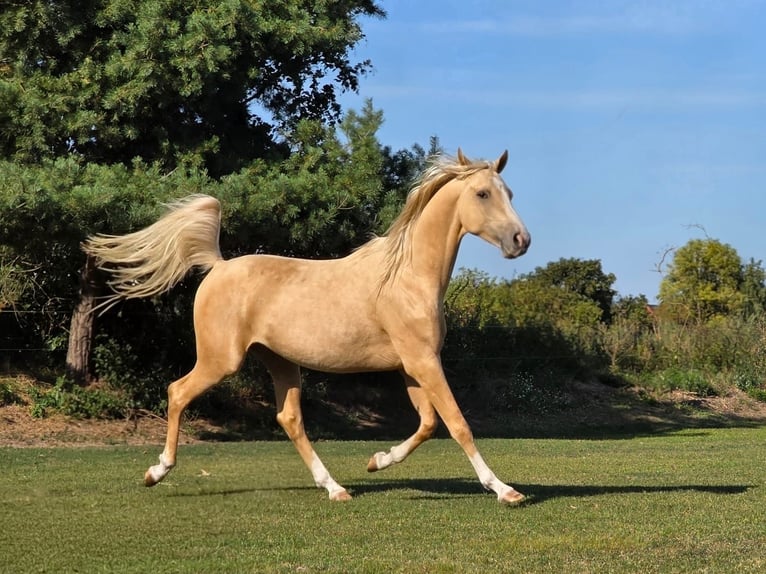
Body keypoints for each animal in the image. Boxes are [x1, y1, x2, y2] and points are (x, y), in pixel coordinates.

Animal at [83, 149, 531, 505]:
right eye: (482, 193)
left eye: (510, 193)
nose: (520, 240)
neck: (406, 276)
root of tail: (218, 266)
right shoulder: (422, 361)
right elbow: (458, 424)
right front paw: (505, 490)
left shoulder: (412, 366)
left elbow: (428, 424)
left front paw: (377, 461)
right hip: (220, 361)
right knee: (178, 392)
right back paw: (156, 471)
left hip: (281, 362)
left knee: (290, 420)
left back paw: (334, 488)